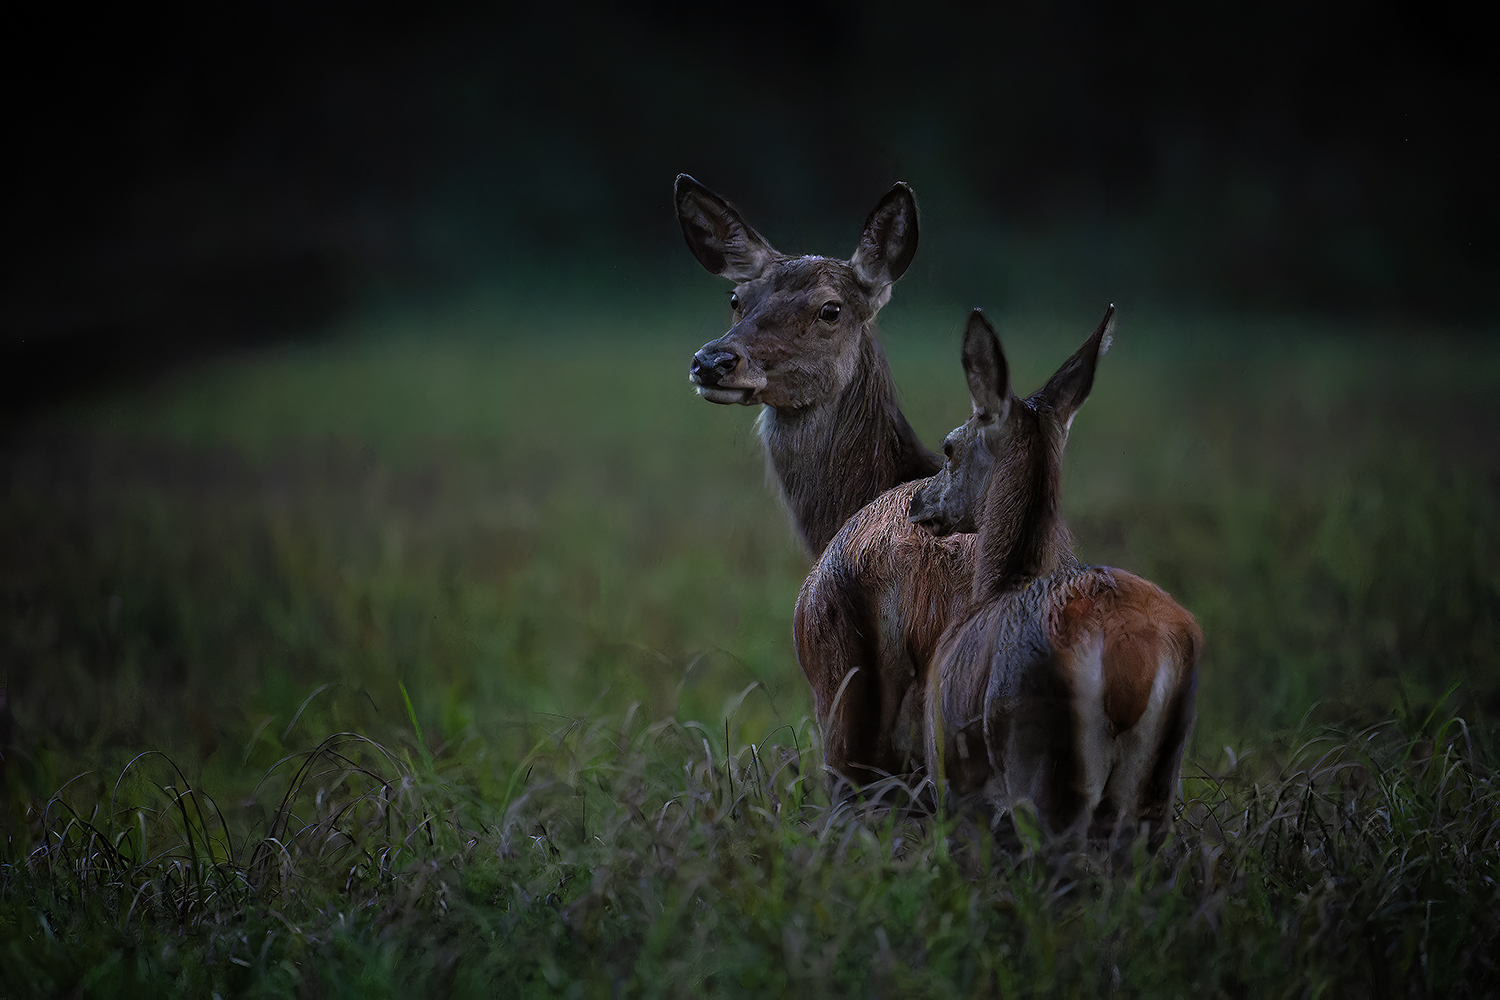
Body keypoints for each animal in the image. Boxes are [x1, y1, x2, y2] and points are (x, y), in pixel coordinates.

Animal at [906, 310, 1200, 845]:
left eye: (949, 447)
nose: (918, 502)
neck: (998, 584)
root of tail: (1129, 655)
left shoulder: (950, 775)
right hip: (1156, 784)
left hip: (1040, 763)